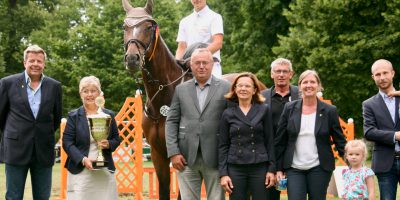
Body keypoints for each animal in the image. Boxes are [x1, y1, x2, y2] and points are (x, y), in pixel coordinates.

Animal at [122, 0, 266, 198]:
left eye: (149, 27)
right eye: (124, 27)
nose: (132, 58)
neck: (163, 97)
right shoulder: (158, 154)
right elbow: (164, 189)